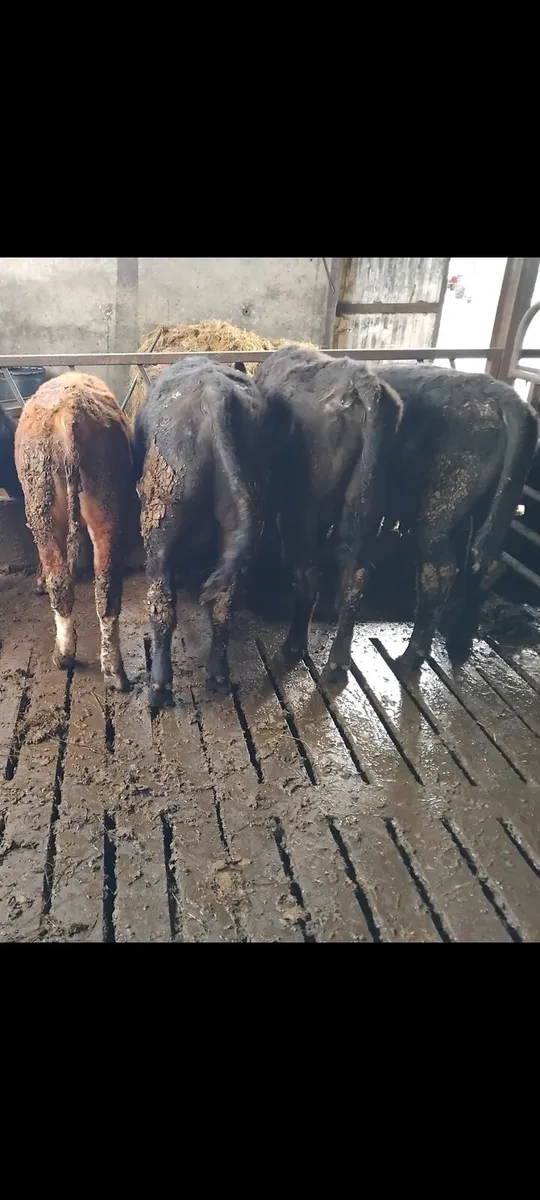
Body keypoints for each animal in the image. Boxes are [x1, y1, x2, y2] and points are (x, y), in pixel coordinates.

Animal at [14, 373, 136, 689]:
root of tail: (70, 412)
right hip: (107, 501)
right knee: (107, 586)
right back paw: (114, 672)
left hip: (41, 505)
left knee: (60, 583)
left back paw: (64, 655)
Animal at [133, 356, 268, 708]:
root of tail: (213, 390)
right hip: (239, 516)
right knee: (224, 603)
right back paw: (218, 677)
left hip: (160, 522)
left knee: (162, 603)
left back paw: (159, 688)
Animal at [254, 345, 403, 680]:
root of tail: (360, 381)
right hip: (366, 505)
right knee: (354, 576)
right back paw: (337, 663)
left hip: (302, 512)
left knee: (308, 575)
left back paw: (293, 645)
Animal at [375, 364, 539, 671]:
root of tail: (507, 398)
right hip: (493, 504)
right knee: (487, 562)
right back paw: (460, 641)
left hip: (441, 505)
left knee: (440, 572)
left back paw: (409, 658)